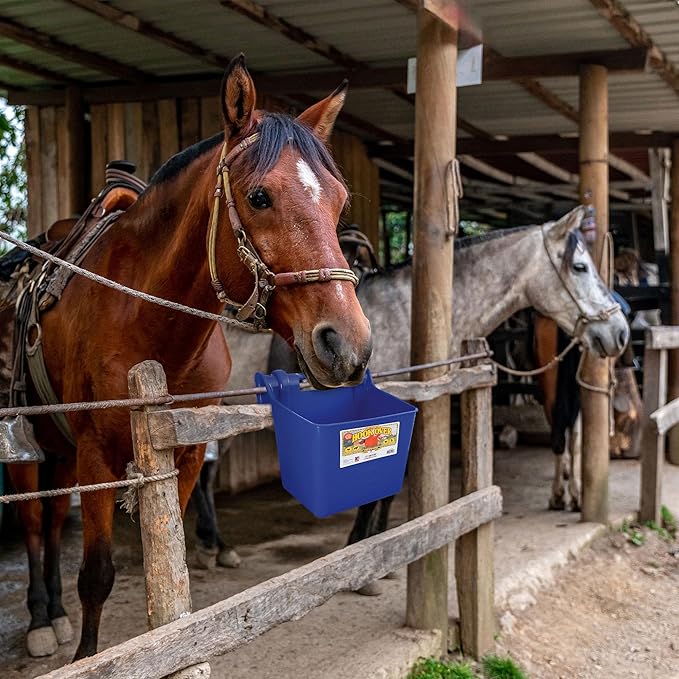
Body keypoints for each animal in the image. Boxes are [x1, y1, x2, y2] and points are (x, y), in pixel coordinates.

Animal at [4, 55, 372, 660]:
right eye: (259, 197)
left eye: (339, 200)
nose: (346, 344)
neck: (146, 319)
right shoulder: (97, 454)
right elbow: (97, 574)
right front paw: (88, 656)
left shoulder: (189, 449)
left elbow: (169, 557)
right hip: (31, 445)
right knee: (36, 523)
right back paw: (38, 619)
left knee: (55, 521)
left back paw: (52, 613)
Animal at [195, 207, 629, 579]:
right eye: (580, 267)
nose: (620, 331)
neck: (403, 319)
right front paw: (361, 548)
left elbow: (389, 486)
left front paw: (379, 547)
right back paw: (213, 547)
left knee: (207, 474)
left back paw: (217, 546)